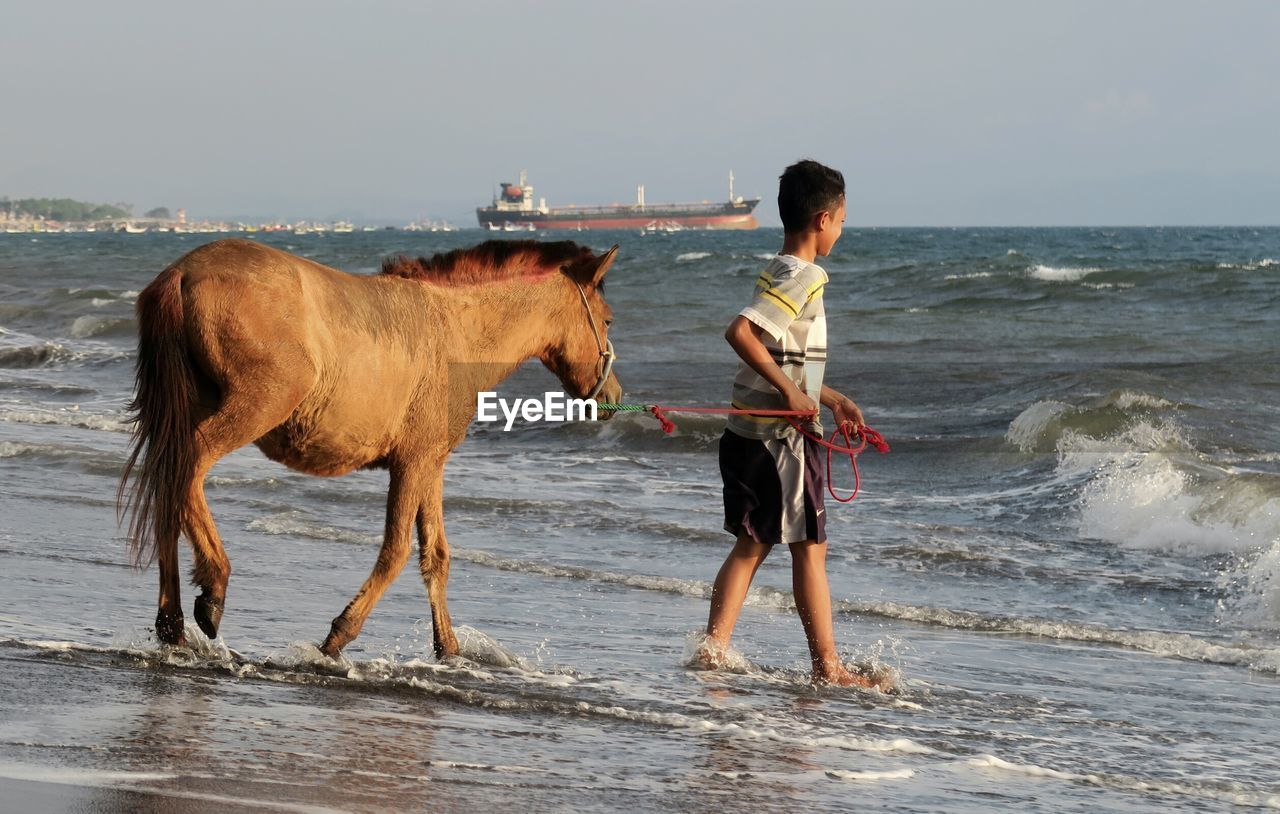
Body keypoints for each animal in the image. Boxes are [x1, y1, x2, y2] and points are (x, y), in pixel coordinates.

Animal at [119, 238, 619, 660]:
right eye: (608, 319)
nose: (613, 397)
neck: (454, 329)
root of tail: (183, 272)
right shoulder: (412, 464)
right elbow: (397, 551)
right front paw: (339, 635)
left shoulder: (430, 464)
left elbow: (436, 555)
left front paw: (448, 649)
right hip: (250, 410)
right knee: (188, 471)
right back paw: (214, 585)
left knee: (169, 493)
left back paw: (171, 624)